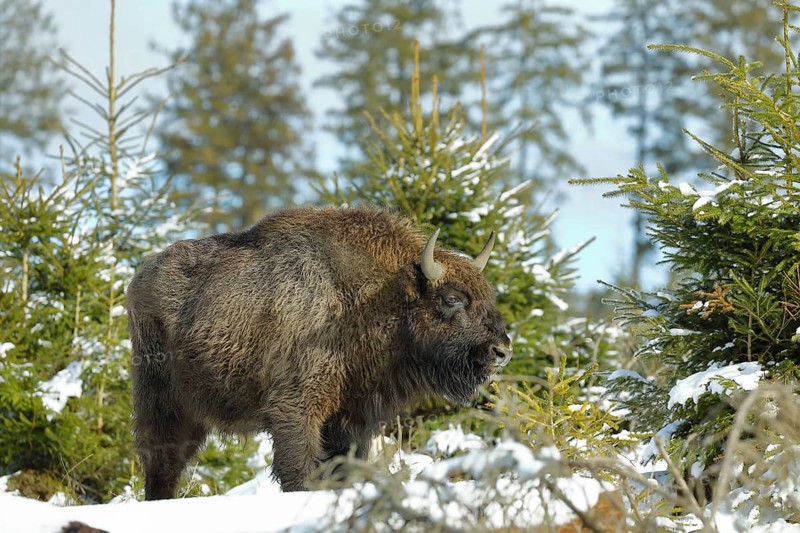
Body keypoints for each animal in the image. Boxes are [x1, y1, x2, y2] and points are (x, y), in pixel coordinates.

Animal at [126, 206, 511, 499]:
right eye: (451, 299)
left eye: (488, 296)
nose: (502, 350)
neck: (370, 298)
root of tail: (139, 276)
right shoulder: (297, 411)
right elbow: (299, 472)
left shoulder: (352, 419)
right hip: (161, 401)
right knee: (162, 461)